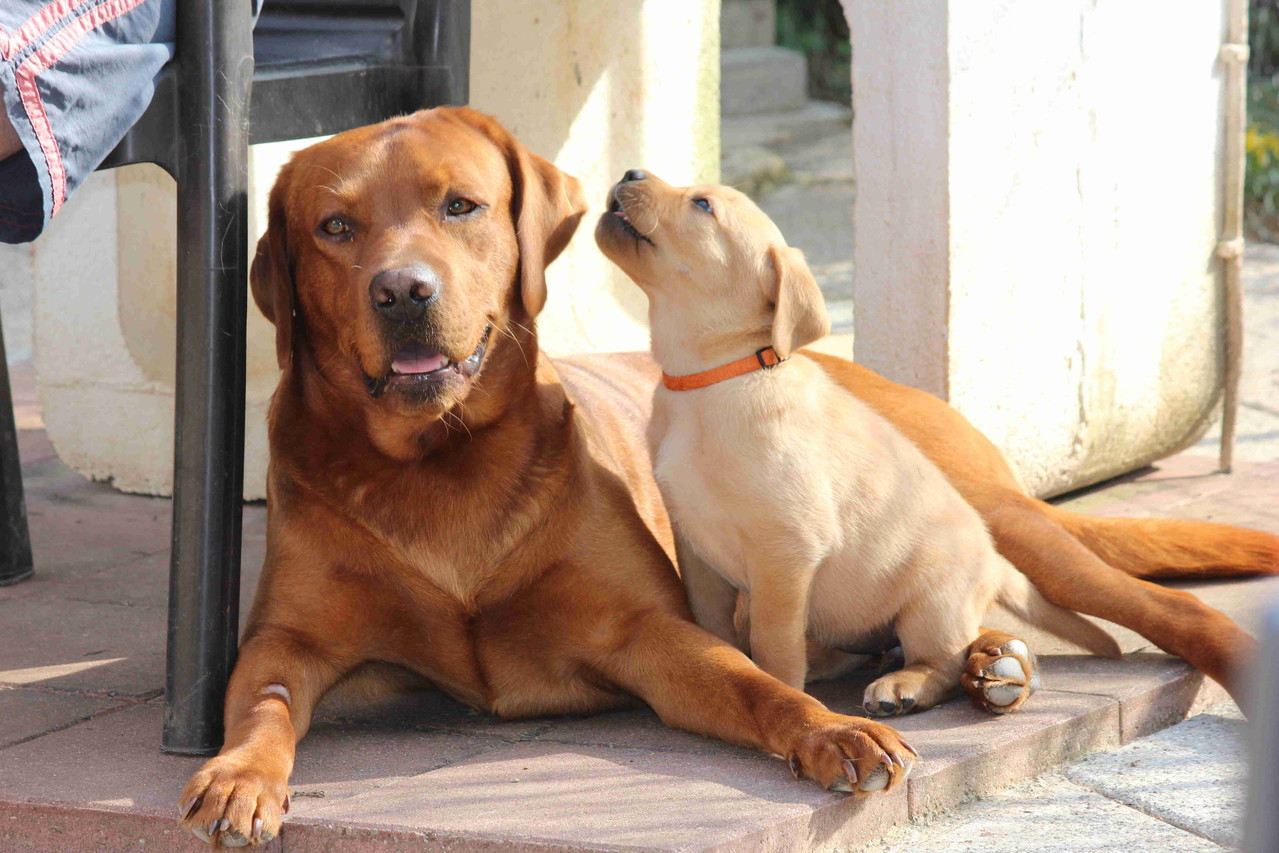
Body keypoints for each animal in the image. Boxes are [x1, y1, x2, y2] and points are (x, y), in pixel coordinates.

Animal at [593, 170, 1115, 716]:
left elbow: (773, 642)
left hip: (931, 600)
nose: (630, 173)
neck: (711, 381)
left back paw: (903, 687)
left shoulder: (787, 549)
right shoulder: (697, 549)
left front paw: (781, 690)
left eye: (702, 205)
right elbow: (713, 629)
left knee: (945, 661)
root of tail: (995, 563)